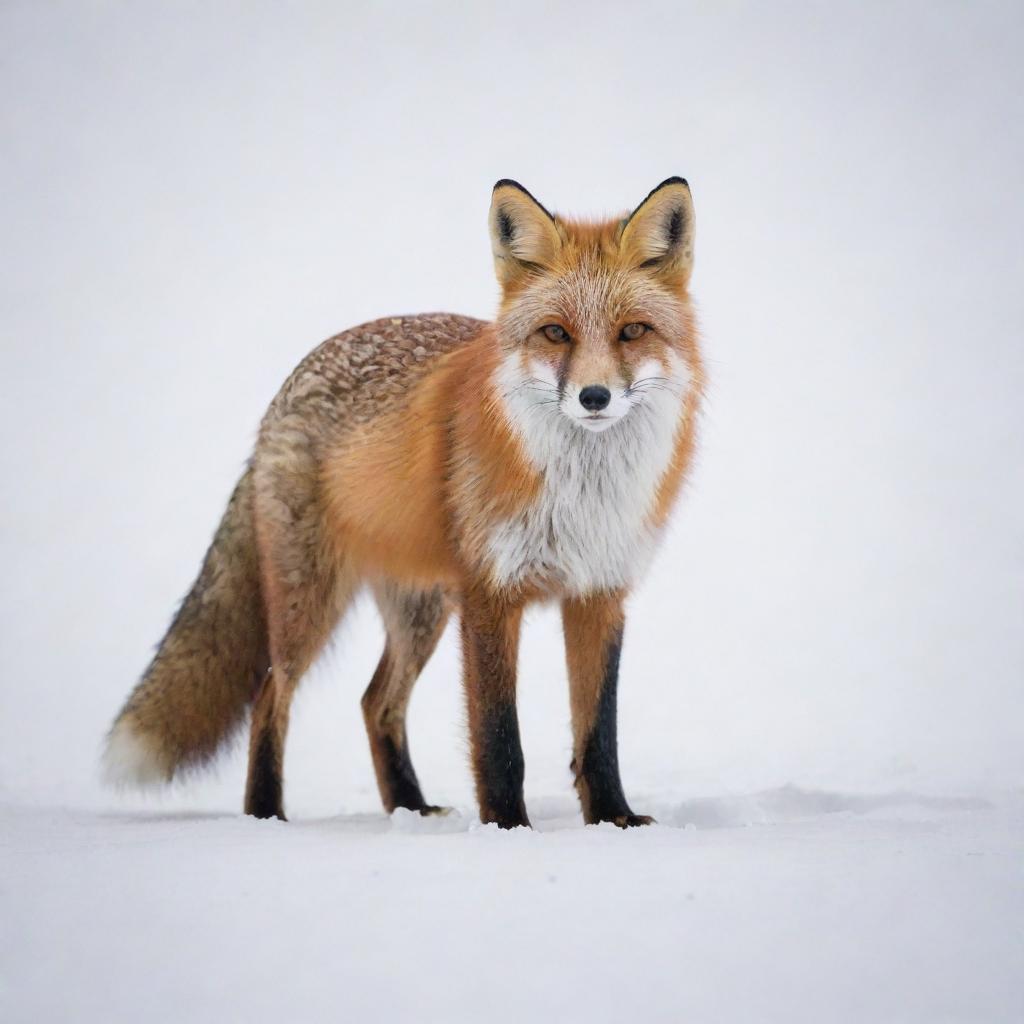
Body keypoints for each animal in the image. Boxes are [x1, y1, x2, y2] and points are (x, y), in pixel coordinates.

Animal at [103, 180, 704, 827]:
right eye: (555, 333)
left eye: (632, 331)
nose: (594, 397)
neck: (582, 493)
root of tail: (283, 394)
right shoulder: (490, 594)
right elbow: (500, 738)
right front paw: (508, 826)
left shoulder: (599, 593)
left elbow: (598, 732)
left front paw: (615, 820)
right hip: (311, 601)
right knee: (270, 694)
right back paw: (266, 814)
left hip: (421, 609)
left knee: (375, 702)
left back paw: (409, 807)